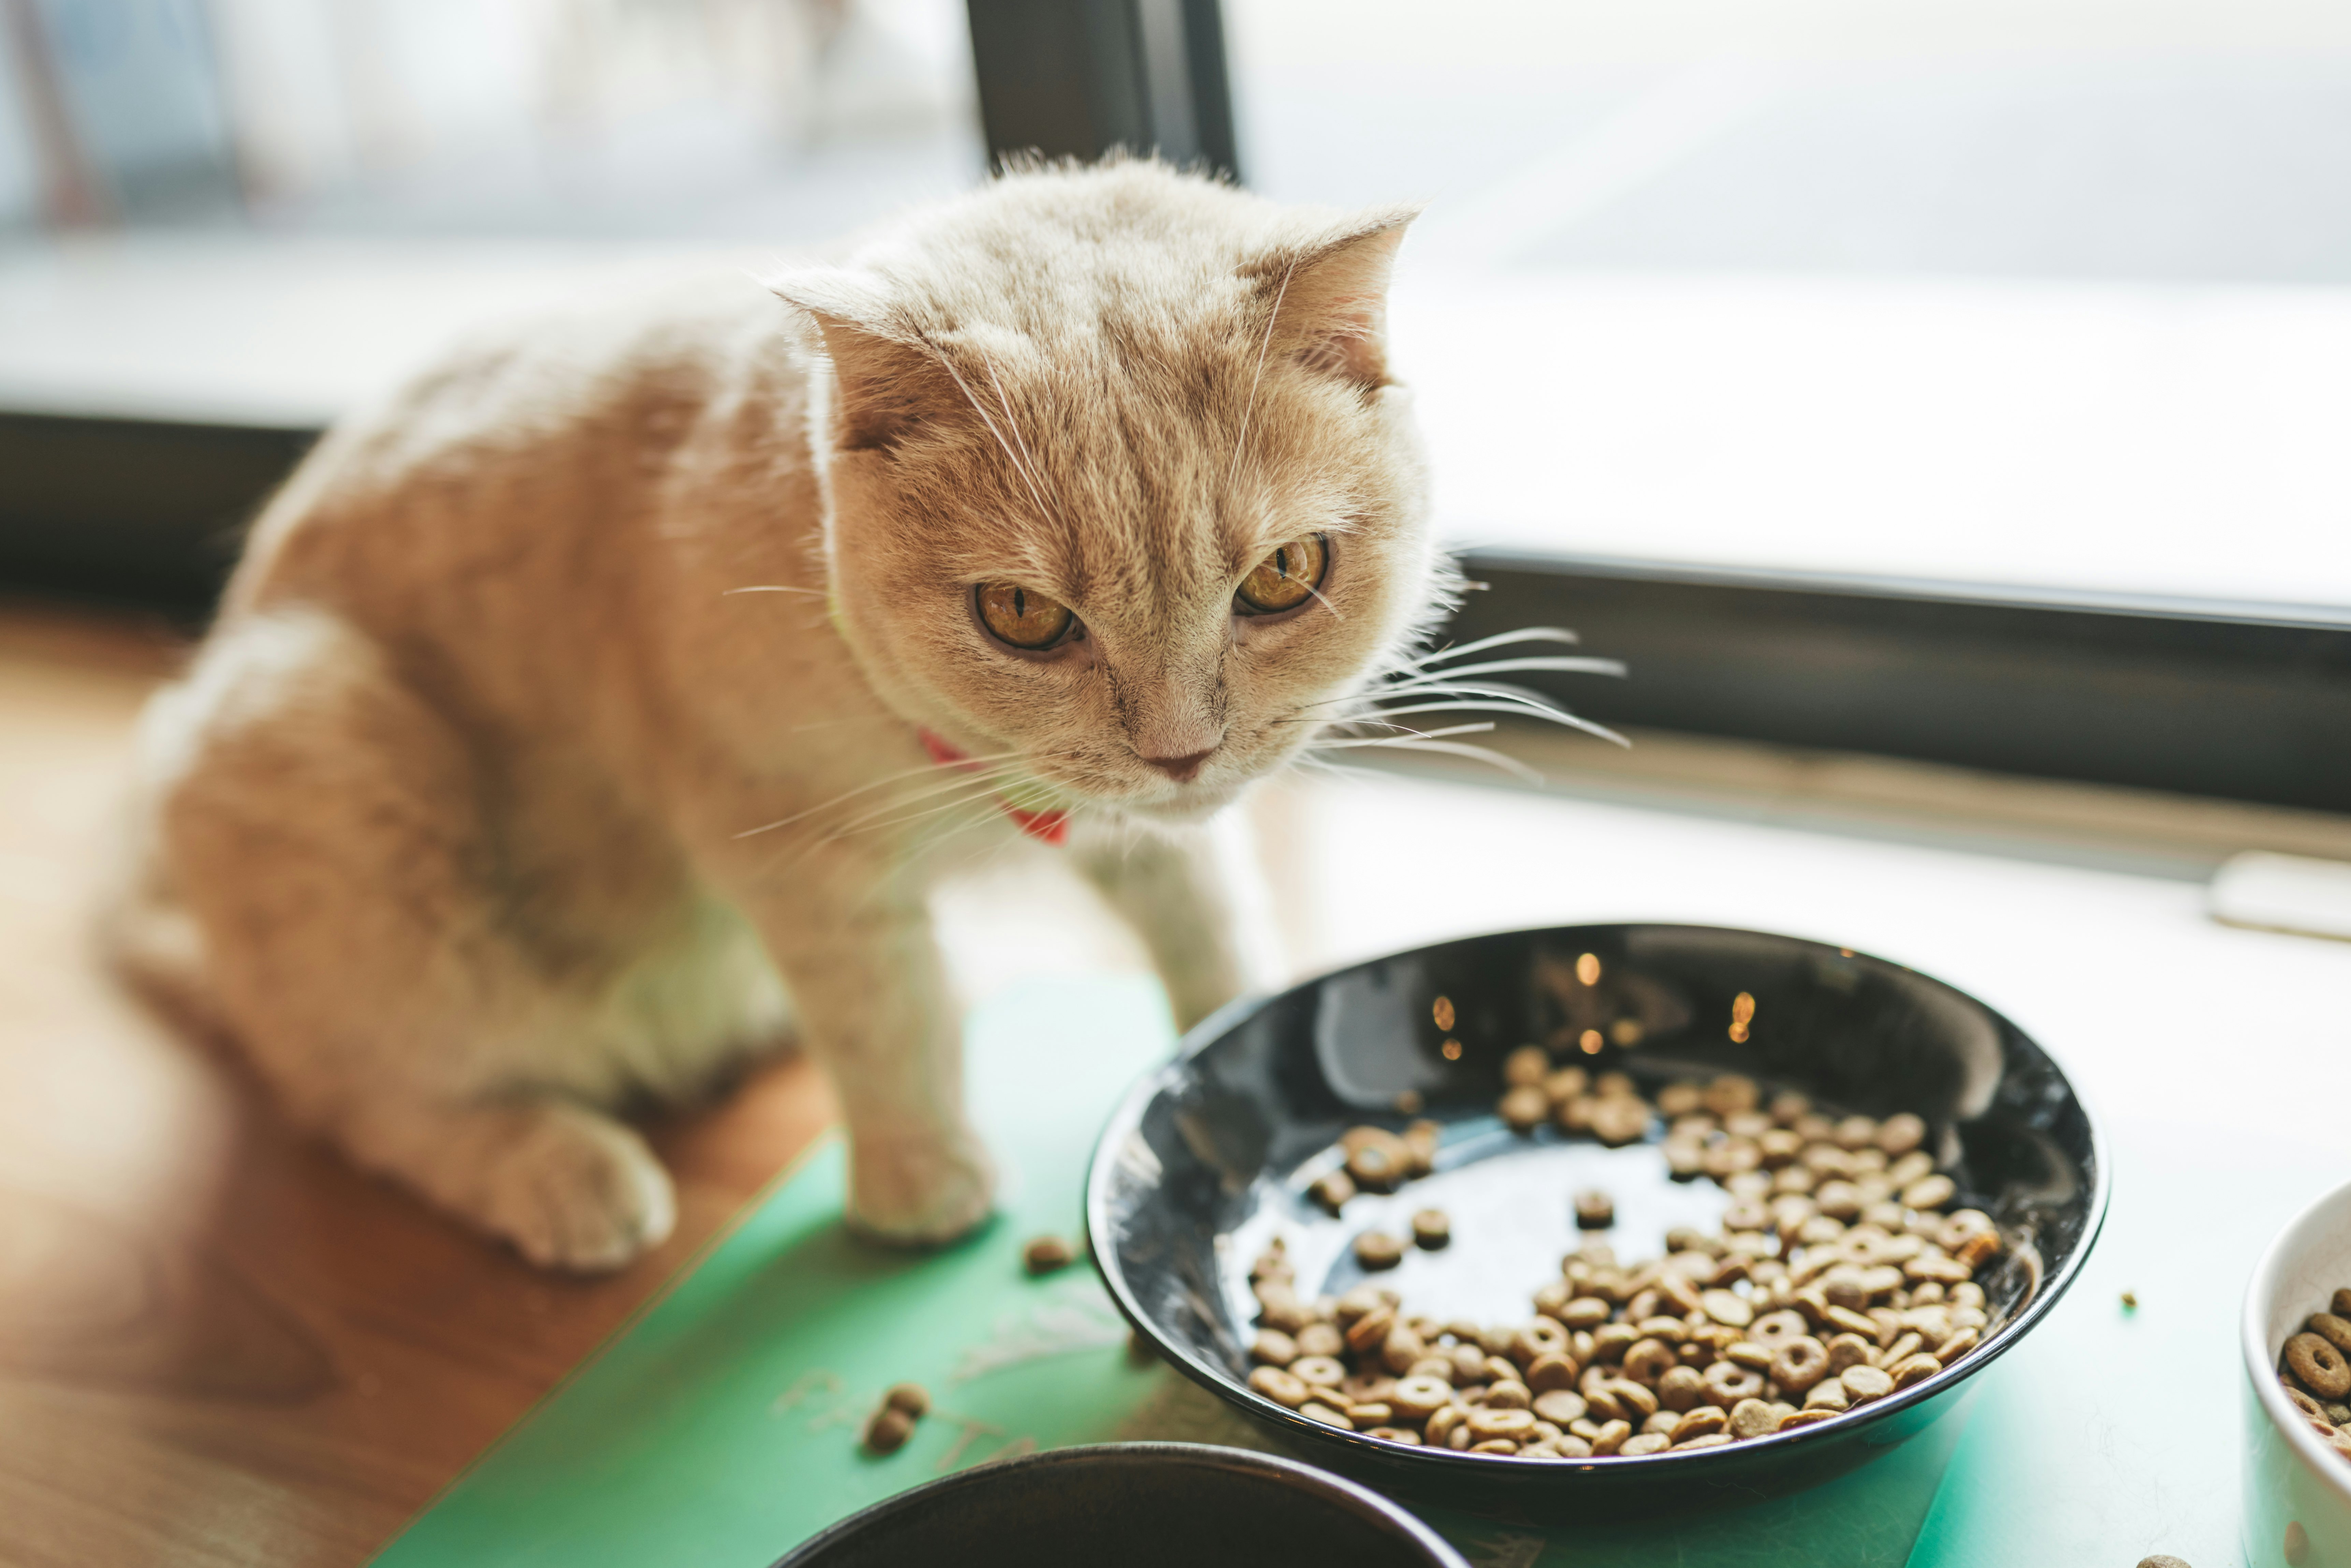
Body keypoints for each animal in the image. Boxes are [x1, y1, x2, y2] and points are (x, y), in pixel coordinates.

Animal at [110, 160, 1486, 1269]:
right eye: (1021, 615)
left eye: (1282, 576)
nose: (1180, 747)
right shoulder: (793, 852)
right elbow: (886, 1016)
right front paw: (921, 1179)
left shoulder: (1141, 830)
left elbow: (1210, 918)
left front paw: (1230, 1031)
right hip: (331, 752)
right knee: (370, 1094)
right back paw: (564, 1170)